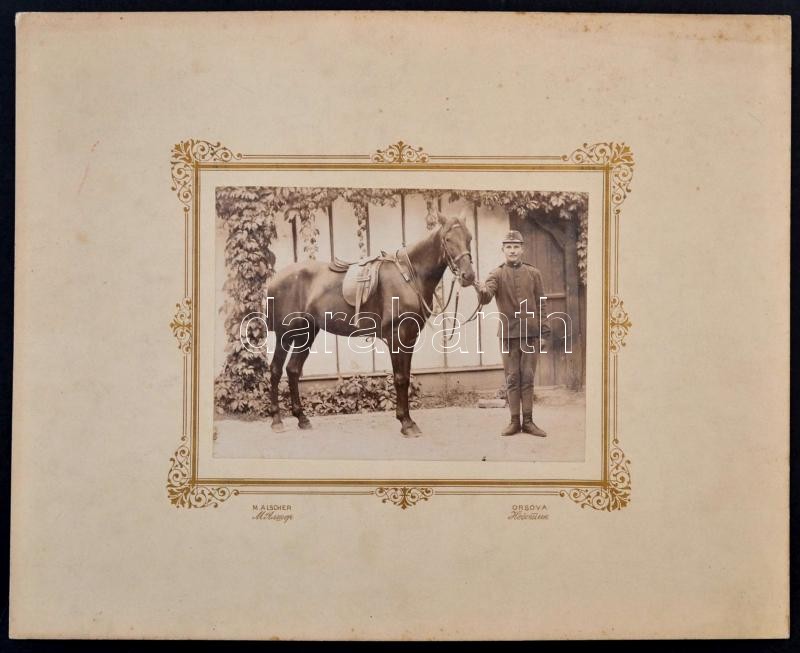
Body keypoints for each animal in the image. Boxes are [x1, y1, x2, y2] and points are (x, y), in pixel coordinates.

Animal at [264, 210, 476, 436]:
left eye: (469, 238)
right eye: (448, 239)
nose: (468, 276)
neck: (409, 276)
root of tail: (275, 279)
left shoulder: (410, 337)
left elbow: (406, 377)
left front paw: (407, 420)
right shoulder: (396, 336)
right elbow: (400, 378)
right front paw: (406, 423)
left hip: (307, 333)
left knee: (293, 370)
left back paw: (302, 418)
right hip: (285, 334)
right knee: (276, 370)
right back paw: (277, 420)